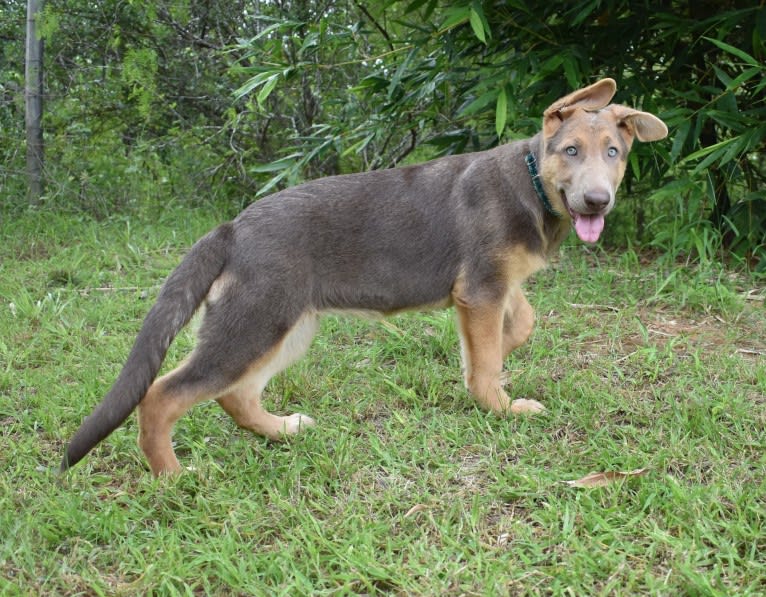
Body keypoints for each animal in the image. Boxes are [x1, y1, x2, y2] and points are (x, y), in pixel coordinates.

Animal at [60, 78, 668, 474]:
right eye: (571, 151)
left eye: (614, 153)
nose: (597, 201)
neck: (532, 180)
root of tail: (233, 227)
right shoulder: (481, 291)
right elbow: (491, 357)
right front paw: (498, 404)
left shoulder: (490, 290)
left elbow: (516, 328)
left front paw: (490, 365)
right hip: (253, 327)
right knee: (162, 395)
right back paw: (171, 477)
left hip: (285, 328)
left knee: (236, 397)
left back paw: (280, 431)